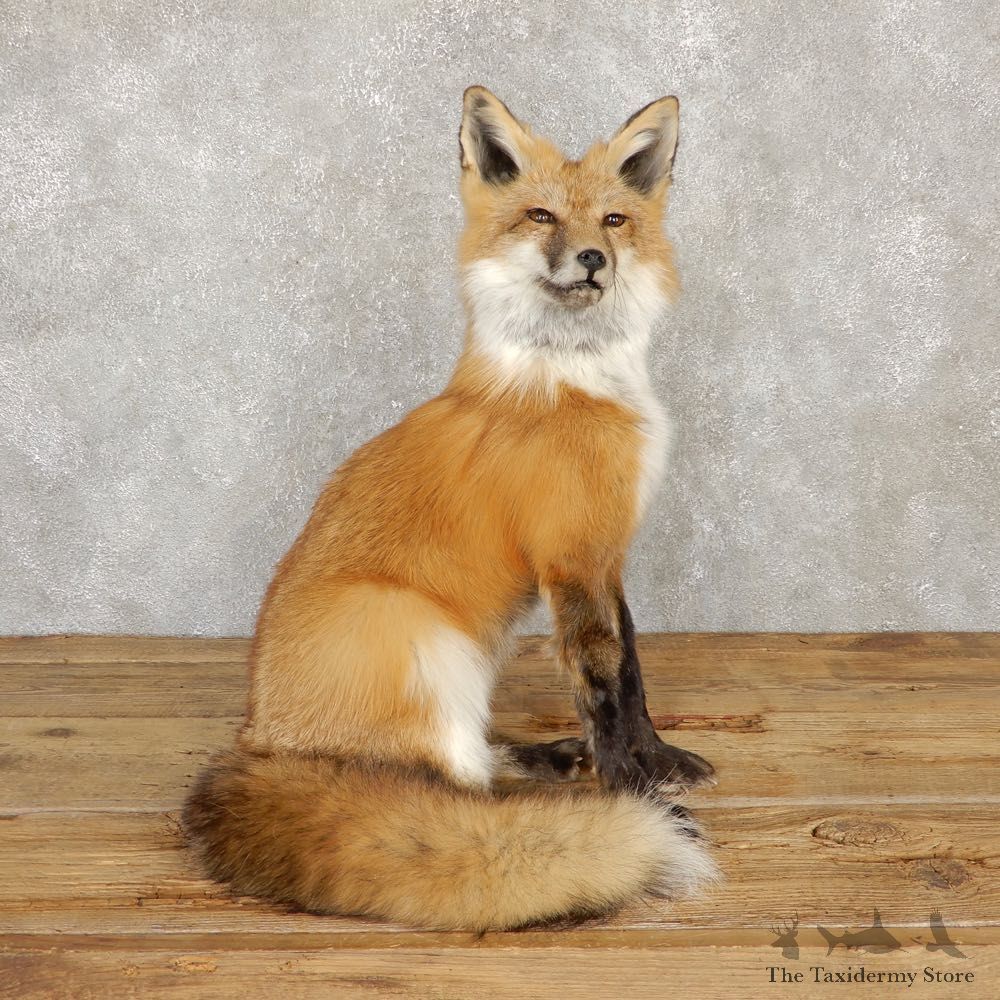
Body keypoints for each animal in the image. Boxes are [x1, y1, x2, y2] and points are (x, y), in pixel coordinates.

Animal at [183, 86, 719, 931]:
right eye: (541, 217)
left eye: (613, 220)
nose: (592, 259)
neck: (571, 381)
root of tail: (259, 740)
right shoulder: (570, 558)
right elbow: (600, 686)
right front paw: (631, 791)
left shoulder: (604, 553)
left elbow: (631, 673)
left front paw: (657, 760)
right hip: (426, 640)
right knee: (455, 789)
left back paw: (549, 758)